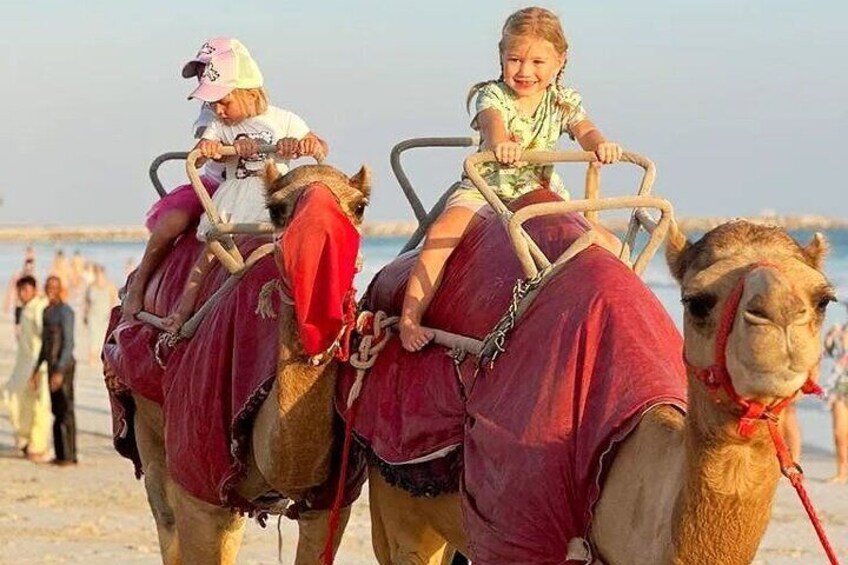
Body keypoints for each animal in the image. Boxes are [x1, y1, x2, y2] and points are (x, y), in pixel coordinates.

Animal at [109, 162, 371, 564]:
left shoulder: (333, 501)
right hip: (146, 421)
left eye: (359, 206)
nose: (318, 236)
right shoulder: (198, 484)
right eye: (277, 209)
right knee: (165, 518)